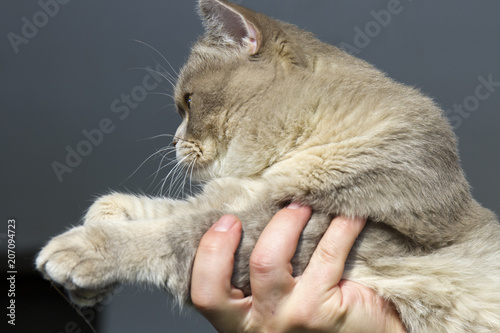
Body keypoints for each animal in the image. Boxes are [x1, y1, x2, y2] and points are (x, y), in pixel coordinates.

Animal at [36, 1, 500, 330]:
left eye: (189, 102)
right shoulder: (235, 201)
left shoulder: (294, 221)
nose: (173, 141)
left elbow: (170, 233)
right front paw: (96, 246)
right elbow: (147, 207)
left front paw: (75, 251)